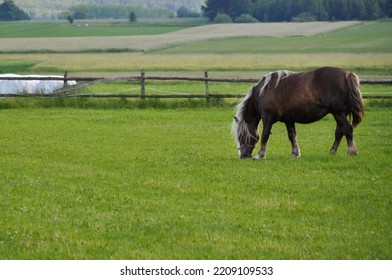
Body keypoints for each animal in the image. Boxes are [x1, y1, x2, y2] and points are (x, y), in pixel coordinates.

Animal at [233, 66, 364, 159]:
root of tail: (345, 74)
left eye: (241, 136)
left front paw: (260, 154)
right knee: (339, 132)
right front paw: (295, 154)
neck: (263, 91)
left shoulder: (267, 118)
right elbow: (292, 136)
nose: (243, 156)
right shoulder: (288, 120)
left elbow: (265, 135)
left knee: (347, 129)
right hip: (341, 113)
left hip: (338, 113)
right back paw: (332, 151)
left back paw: (352, 151)